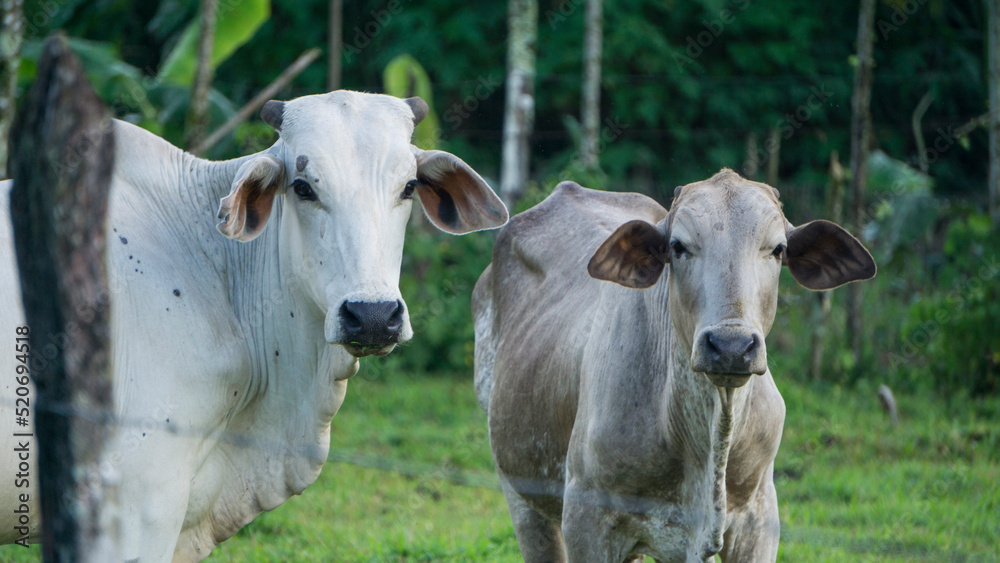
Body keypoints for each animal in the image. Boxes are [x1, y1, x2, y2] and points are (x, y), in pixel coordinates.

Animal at [476, 170, 876, 560]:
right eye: (678, 247)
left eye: (778, 250)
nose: (731, 346)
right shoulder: (586, 518)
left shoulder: (759, 519)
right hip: (519, 492)